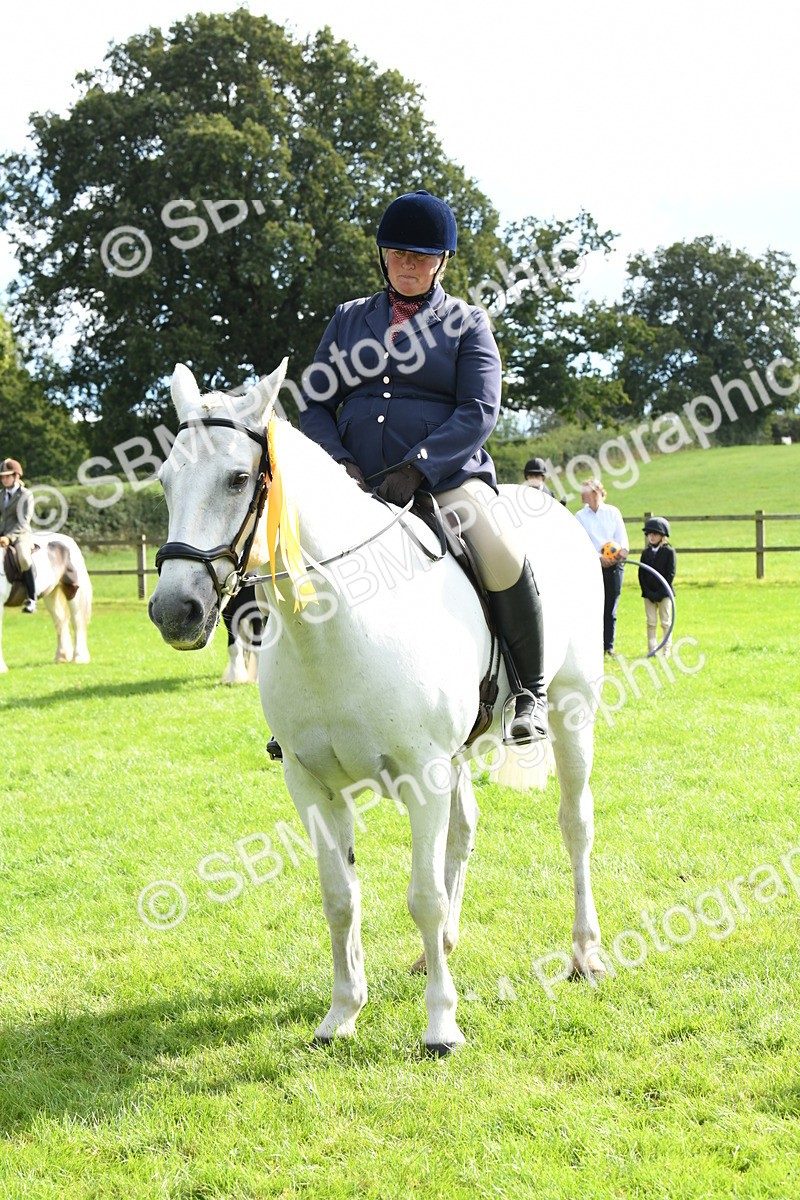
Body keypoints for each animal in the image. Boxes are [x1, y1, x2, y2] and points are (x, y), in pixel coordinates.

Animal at [0, 532, 92, 672]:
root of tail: (67, 540)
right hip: (51, 594)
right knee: (60, 621)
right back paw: (61, 657)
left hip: (73, 591)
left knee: (77, 622)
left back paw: (79, 658)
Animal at [149, 361, 607, 1054]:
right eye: (166, 480)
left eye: (237, 479)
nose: (175, 611)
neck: (333, 627)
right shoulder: (311, 782)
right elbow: (340, 895)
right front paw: (342, 1013)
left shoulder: (423, 774)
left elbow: (423, 897)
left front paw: (441, 1026)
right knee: (464, 830)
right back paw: (437, 951)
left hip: (571, 712)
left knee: (574, 824)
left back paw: (585, 955)